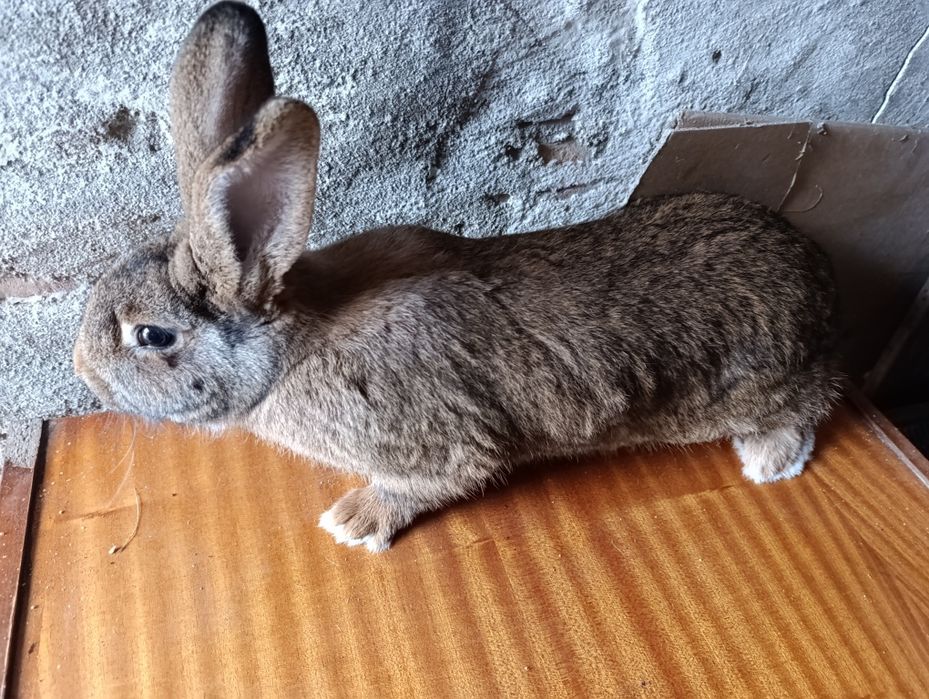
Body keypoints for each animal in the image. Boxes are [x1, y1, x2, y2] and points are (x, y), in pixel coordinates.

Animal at [73, 1, 840, 553]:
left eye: (152, 335)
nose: (81, 369)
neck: (290, 348)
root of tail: (823, 285)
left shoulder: (442, 446)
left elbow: (429, 482)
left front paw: (353, 521)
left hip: (766, 386)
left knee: (809, 408)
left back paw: (770, 458)